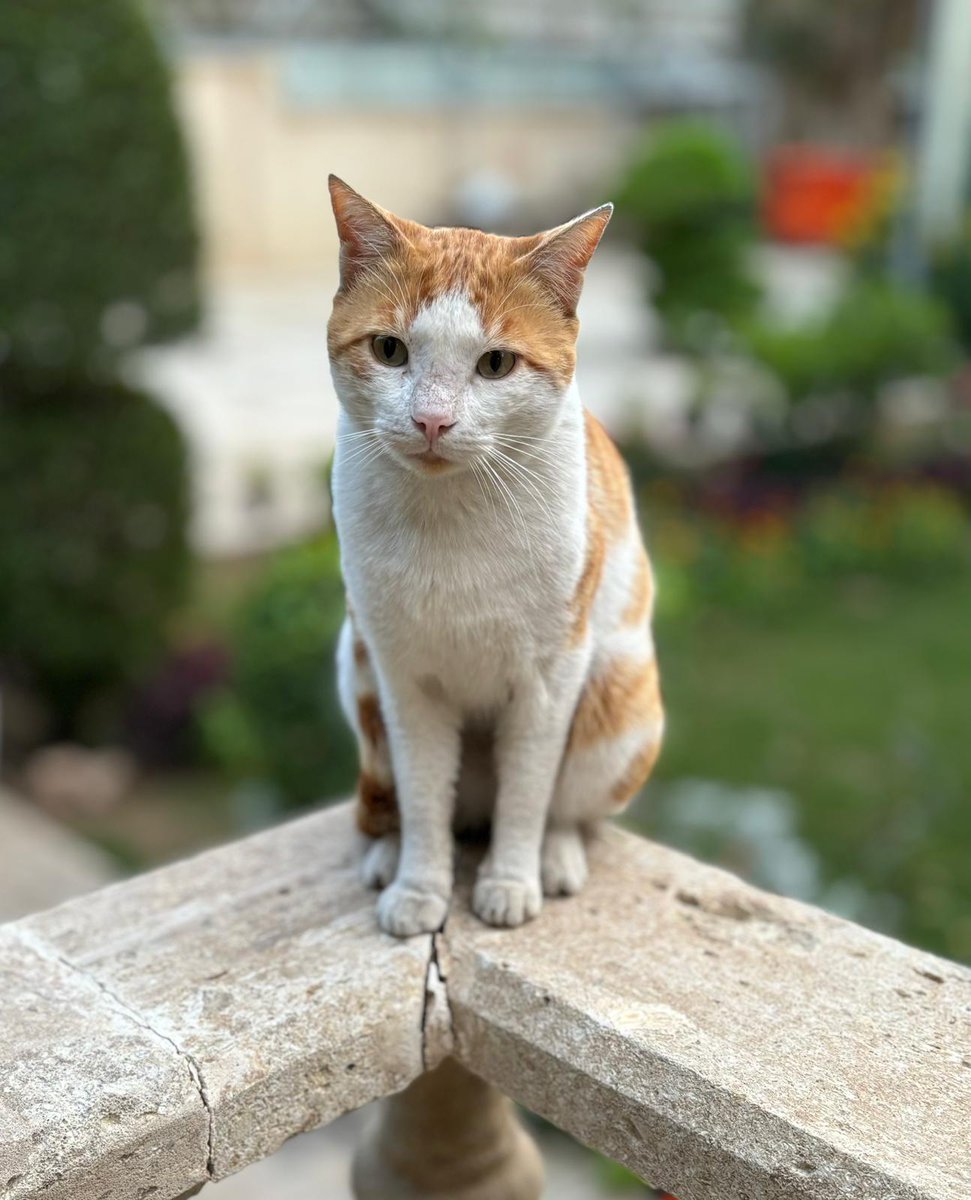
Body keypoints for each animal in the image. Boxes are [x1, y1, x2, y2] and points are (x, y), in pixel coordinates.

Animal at [328, 177, 662, 940]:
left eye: (496, 363)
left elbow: (528, 793)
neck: (449, 518)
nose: (431, 420)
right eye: (389, 350)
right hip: (356, 673)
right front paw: (419, 887)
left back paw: (556, 857)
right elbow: (422, 793)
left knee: (565, 806)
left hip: (619, 703)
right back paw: (388, 853)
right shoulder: (401, 676)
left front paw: (510, 881)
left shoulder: (549, 677)